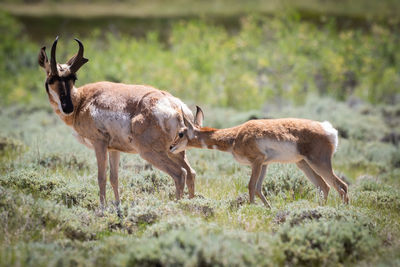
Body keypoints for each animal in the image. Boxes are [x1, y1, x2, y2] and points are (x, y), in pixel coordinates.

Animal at [39, 37, 197, 213]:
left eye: (73, 78)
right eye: (51, 79)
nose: (68, 108)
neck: (83, 100)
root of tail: (176, 107)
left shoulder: (99, 144)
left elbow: (101, 177)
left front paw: (102, 210)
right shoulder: (114, 149)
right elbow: (114, 178)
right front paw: (117, 207)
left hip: (151, 152)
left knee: (180, 174)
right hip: (176, 152)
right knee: (191, 173)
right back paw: (192, 206)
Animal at [170, 107, 348, 207]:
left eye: (181, 133)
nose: (170, 147)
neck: (236, 135)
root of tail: (327, 129)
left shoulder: (256, 162)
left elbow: (250, 186)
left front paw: (251, 208)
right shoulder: (264, 164)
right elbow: (258, 188)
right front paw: (268, 208)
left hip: (318, 163)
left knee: (341, 186)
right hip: (304, 164)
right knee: (324, 186)